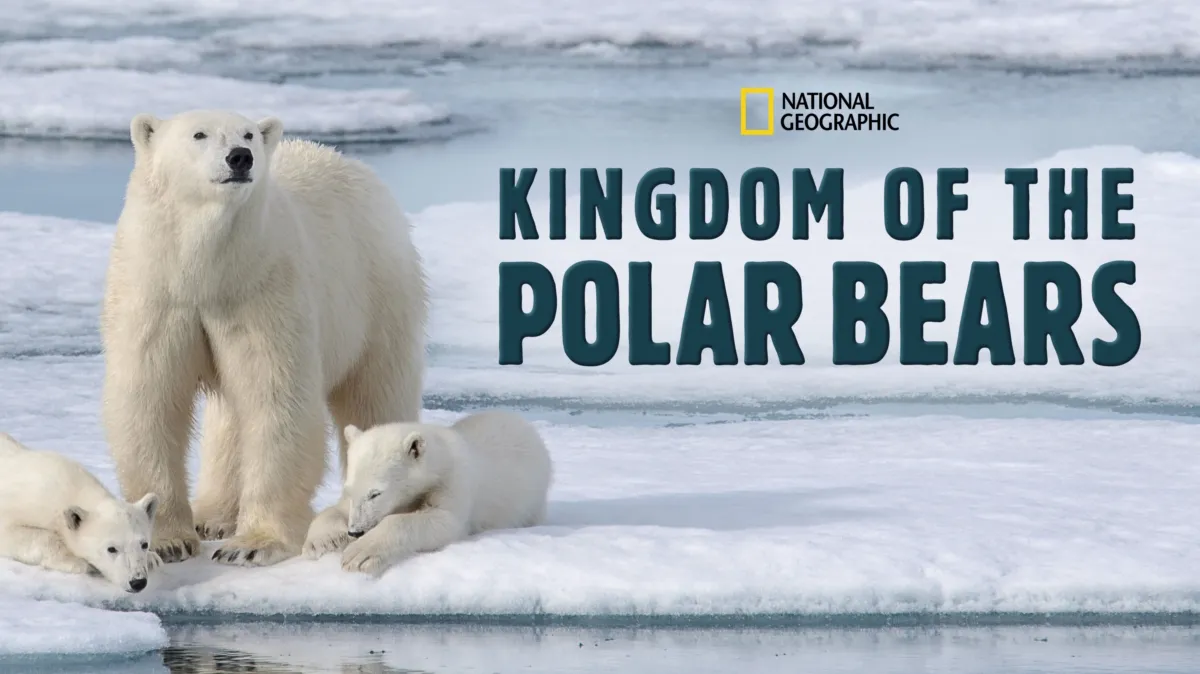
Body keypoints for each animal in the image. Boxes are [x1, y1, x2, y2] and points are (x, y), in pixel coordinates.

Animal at [101, 109, 427, 568]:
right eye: (199, 134)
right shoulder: (158, 295)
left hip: (378, 295)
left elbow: (275, 400)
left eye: (248, 133)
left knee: (374, 393)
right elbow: (151, 398)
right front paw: (167, 542)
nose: (240, 157)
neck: (207, 273)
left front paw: (253, 544)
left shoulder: (263, 291)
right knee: (228, 421)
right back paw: (213, 516)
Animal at [303, 410, 553, 576]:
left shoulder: (453, 482)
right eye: (350, 490)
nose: (355, 531)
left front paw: (359, 554)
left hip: (532, 498)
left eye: (376, 494)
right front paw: (323, 541)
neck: (440, 458)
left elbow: (442, 520)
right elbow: (334, 510)